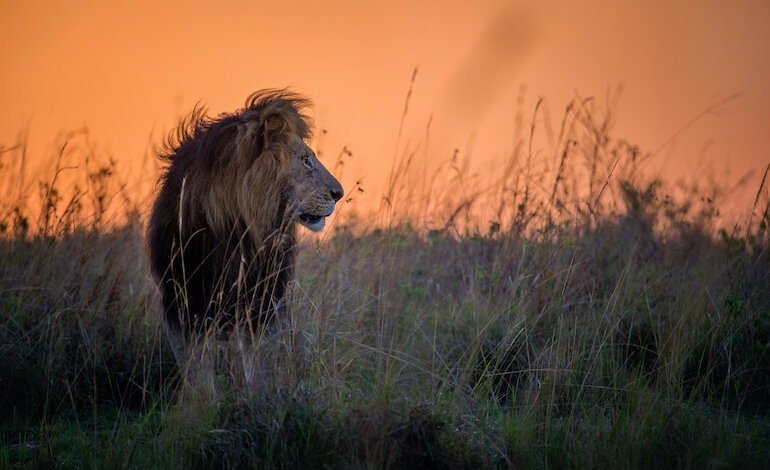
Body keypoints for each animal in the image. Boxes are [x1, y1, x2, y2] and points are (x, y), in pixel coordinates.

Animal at [147, 90, 343, 375]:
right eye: (305, 160)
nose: (340, 193)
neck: (234, 229)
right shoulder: (181, 308)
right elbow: (199, 375)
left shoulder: (260, 308)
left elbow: (257, 369)